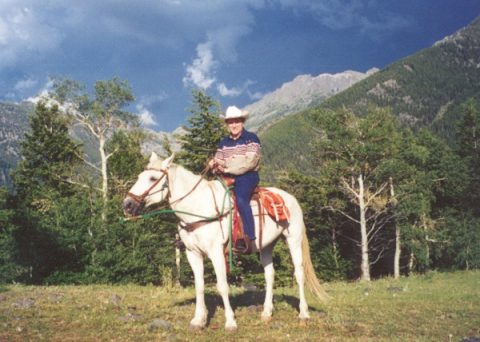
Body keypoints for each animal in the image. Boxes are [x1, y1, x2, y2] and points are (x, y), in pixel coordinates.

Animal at [122, 153, 328, 332]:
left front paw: (230, 323)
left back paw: (303, 314)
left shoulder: (216, 253)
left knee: (299, 274)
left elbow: (222, 286)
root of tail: (291, 198)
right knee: (270, 275)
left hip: (293, 239)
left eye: (152, 178)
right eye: (140, 176)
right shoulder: (192, 253)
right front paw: (198, 320)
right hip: (266, 246)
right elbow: (199, 285)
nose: (127, 205)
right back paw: (266, 313)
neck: (198, 207)